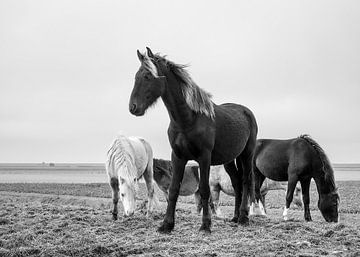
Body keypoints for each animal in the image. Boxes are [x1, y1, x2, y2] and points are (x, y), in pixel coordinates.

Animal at [128, 47, 258, 232]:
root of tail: (246, 112)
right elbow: (174, 189)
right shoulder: (178, 157)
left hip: (247, 154)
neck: (188, 120)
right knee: (237, 183)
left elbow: (204, 189)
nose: (133, 107)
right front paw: (166, 225)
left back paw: (243, 218)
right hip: (229, 160)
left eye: (147, 76)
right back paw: (235, 217)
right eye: (136, 76)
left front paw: (205, 225)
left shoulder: (204, 158)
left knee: (246, 181)